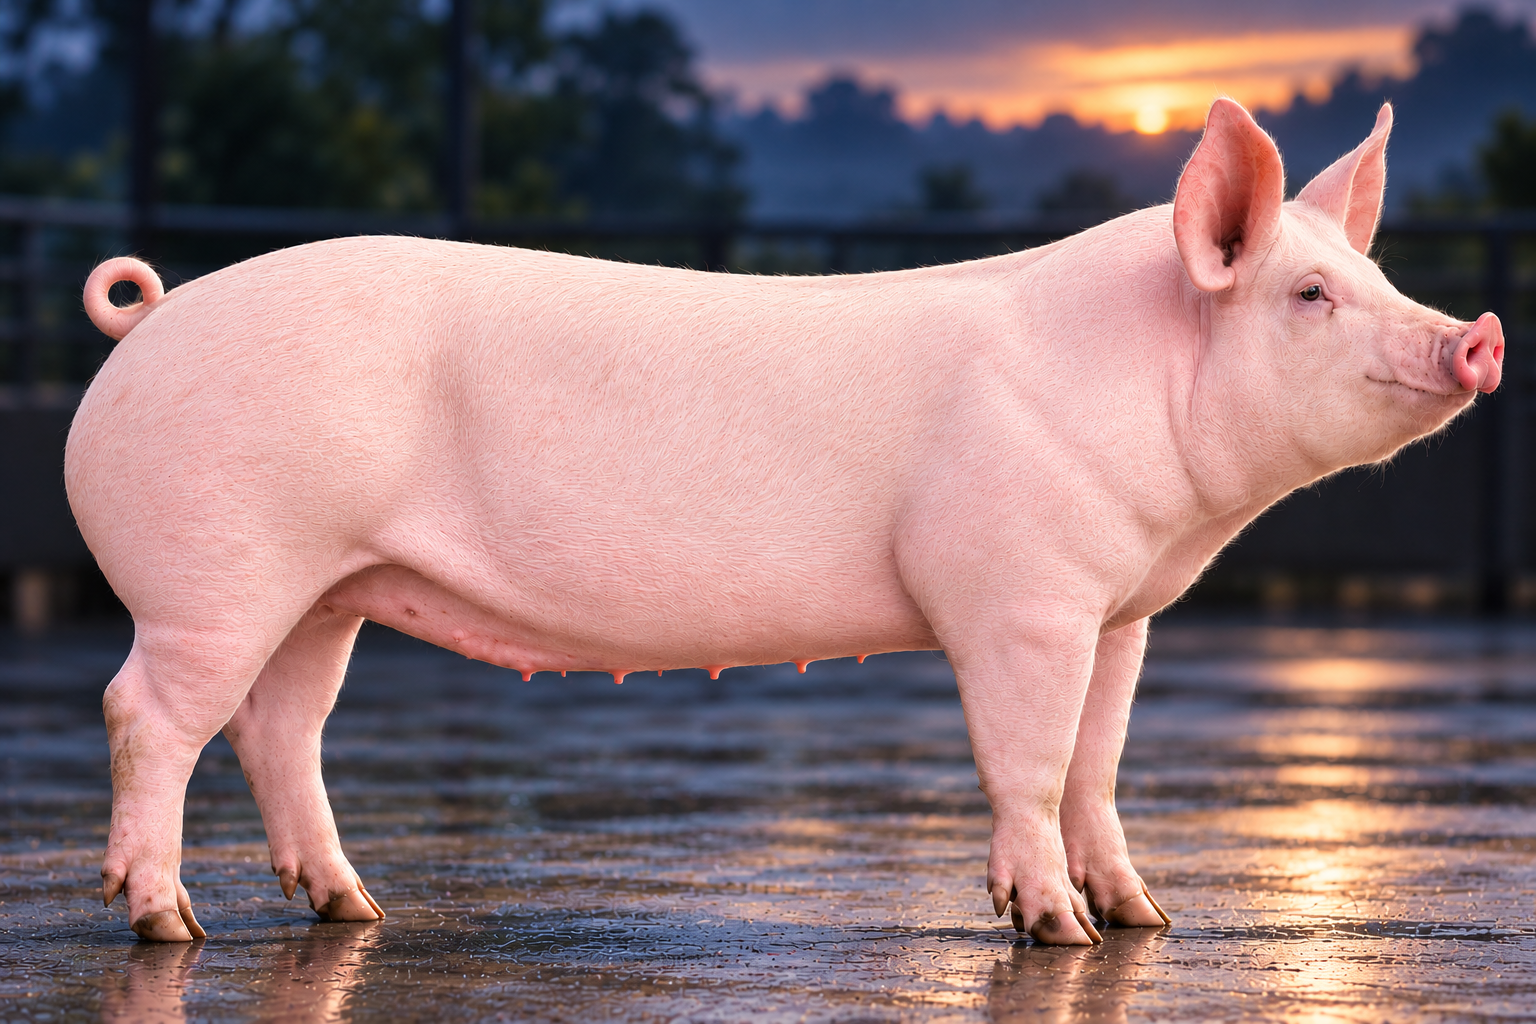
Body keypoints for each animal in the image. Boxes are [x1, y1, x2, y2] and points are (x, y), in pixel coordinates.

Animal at [67, 98, 1502, 944]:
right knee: (146, 713)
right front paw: (1059, 932)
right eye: (1310, 294)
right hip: (218, 569)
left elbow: (1099, 767)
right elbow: (1031, 764)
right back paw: (165, 923)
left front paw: (1143, 920)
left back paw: (353, 910)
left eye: (1376, 272)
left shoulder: (1120, 609)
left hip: (325, 588)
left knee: (278, 729)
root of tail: (153, 316)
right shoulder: (1017, 593)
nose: (1478, 333)